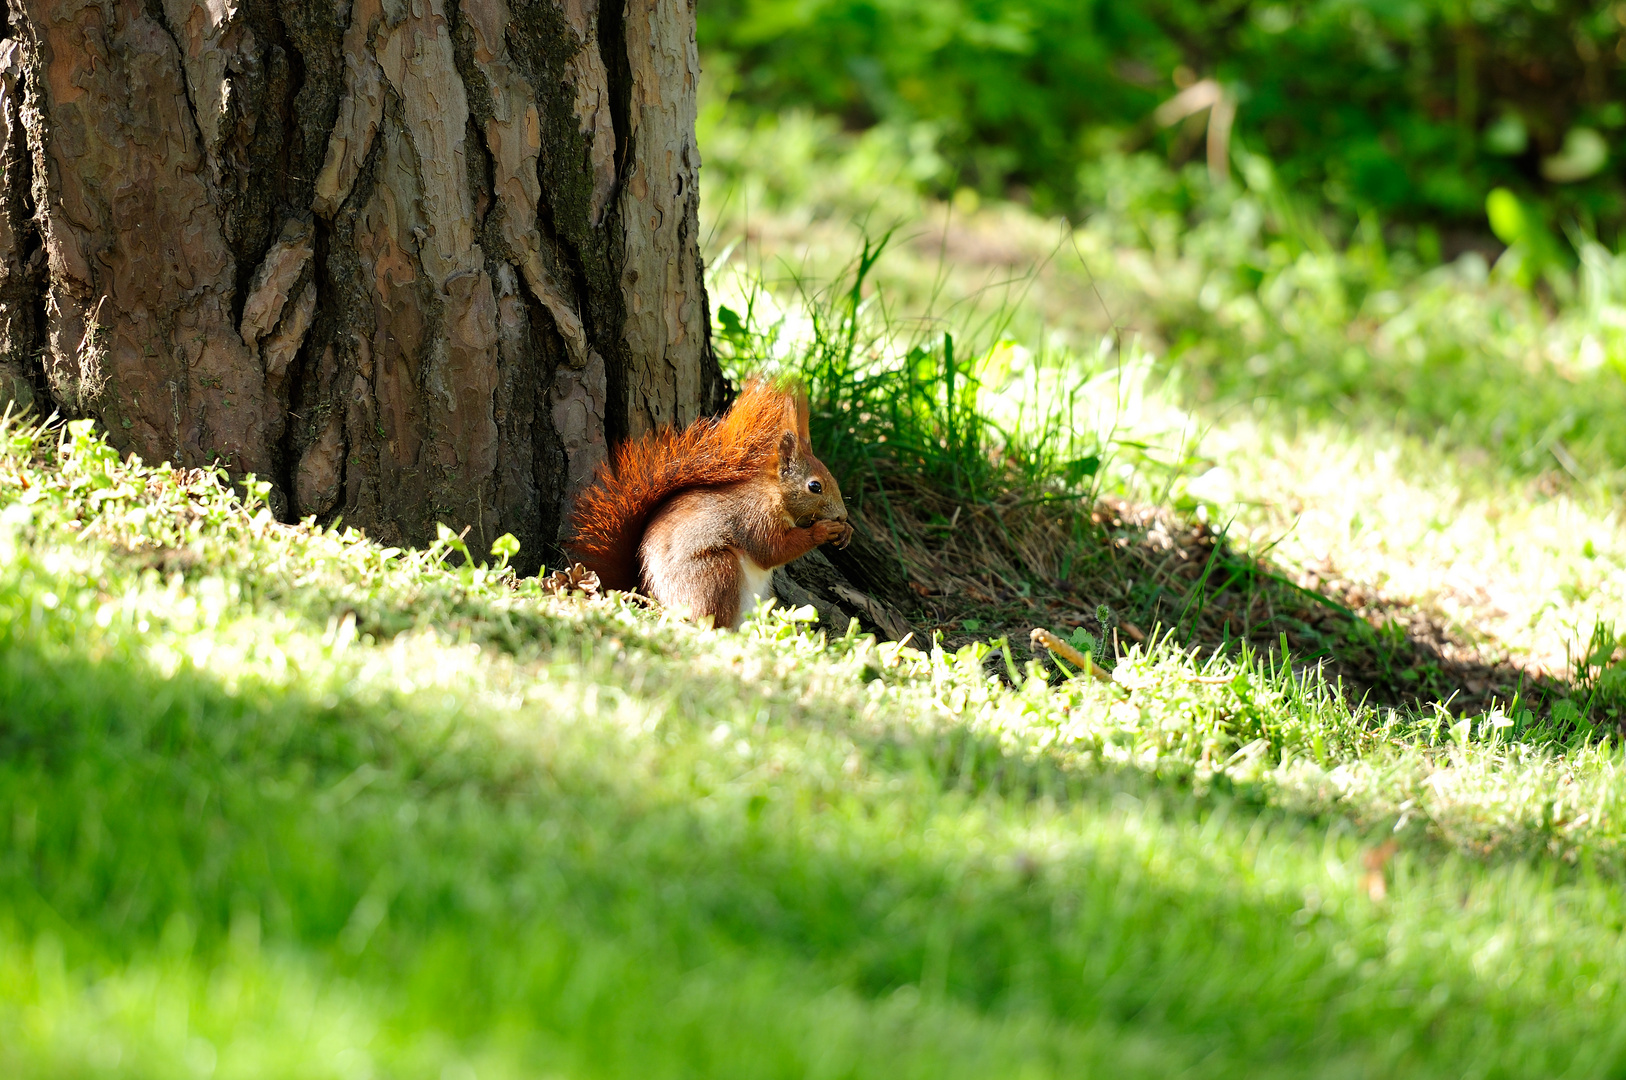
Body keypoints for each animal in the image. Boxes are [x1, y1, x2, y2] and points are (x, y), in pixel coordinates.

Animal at [565, 382, 858, 627]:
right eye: (815, 486)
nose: (842, 516)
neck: (773, 495)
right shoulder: (754, 518)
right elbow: (772, 551)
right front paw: (822, 531)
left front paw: (846, 532)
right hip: (715, 573)